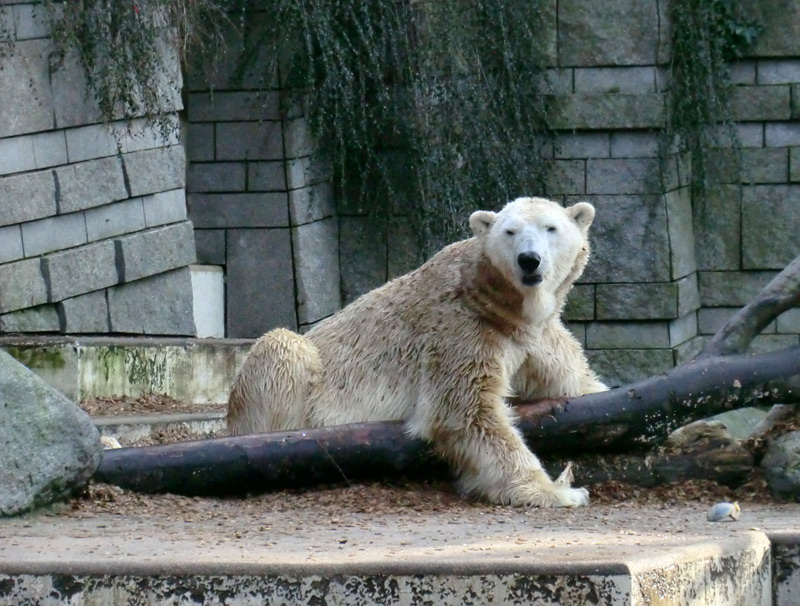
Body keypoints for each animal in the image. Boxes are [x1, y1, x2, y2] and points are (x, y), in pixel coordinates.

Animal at [227, 197, 608, 506]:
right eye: (510, 231)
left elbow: (575, 381)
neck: (504, 306)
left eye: (551, 228)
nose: (529, 260)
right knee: (282, 347)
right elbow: (467, 411)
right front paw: (558, 491)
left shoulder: (538, 339)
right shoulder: (461, 329)